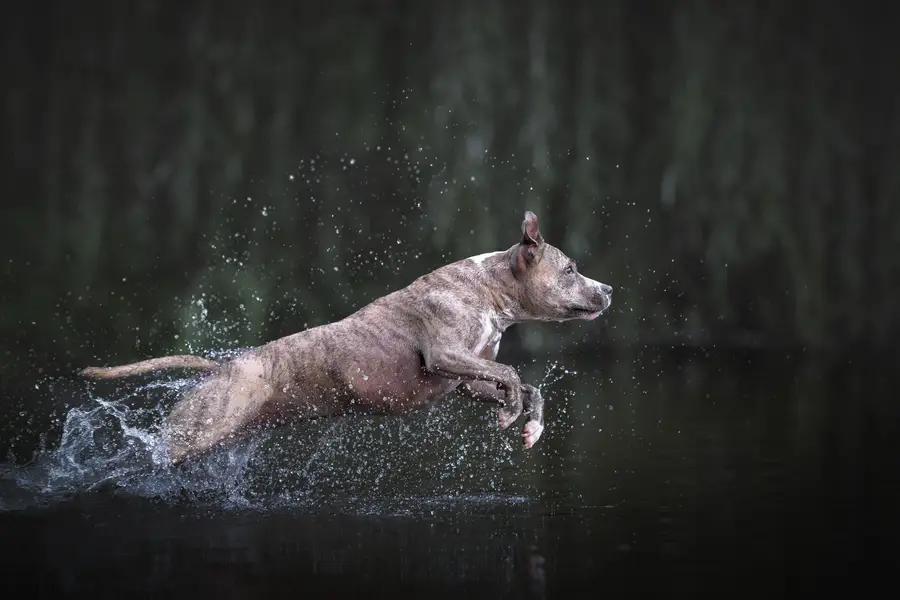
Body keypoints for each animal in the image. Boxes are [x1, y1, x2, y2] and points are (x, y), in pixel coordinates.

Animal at [79, 211, 612, 464]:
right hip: (196, 430)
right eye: (570, 269)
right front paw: (511, 414)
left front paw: (529, 425)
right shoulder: (444, 355)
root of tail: (225, 367)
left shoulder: (464, 378)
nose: (608, 289)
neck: (489, 287)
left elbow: (524, 382)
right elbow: (512, 372)